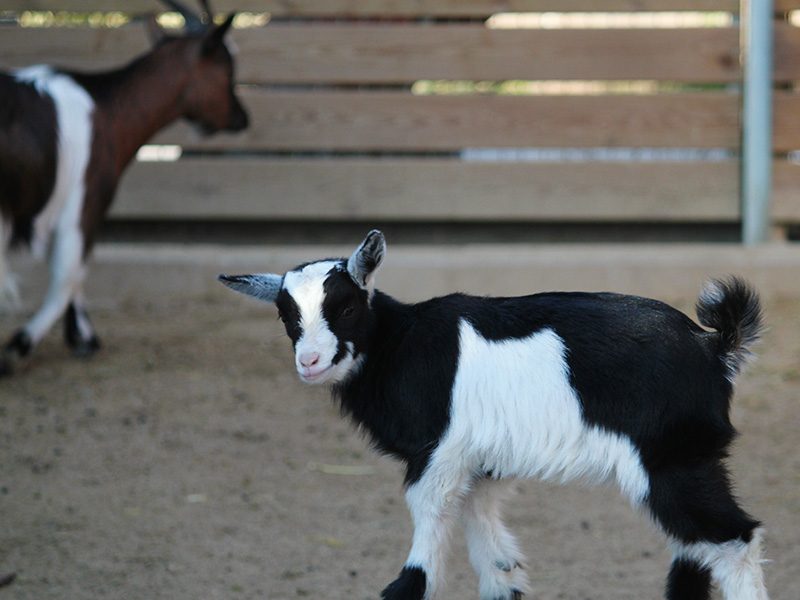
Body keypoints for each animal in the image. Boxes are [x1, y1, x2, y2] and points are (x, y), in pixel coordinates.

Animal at [0, 1, 248, 376]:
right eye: (227, 68)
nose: (242, 118)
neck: (105, 109)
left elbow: (70, 270)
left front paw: (82, 337)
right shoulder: (86, 198)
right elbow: (68, 272)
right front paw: (19, 347)